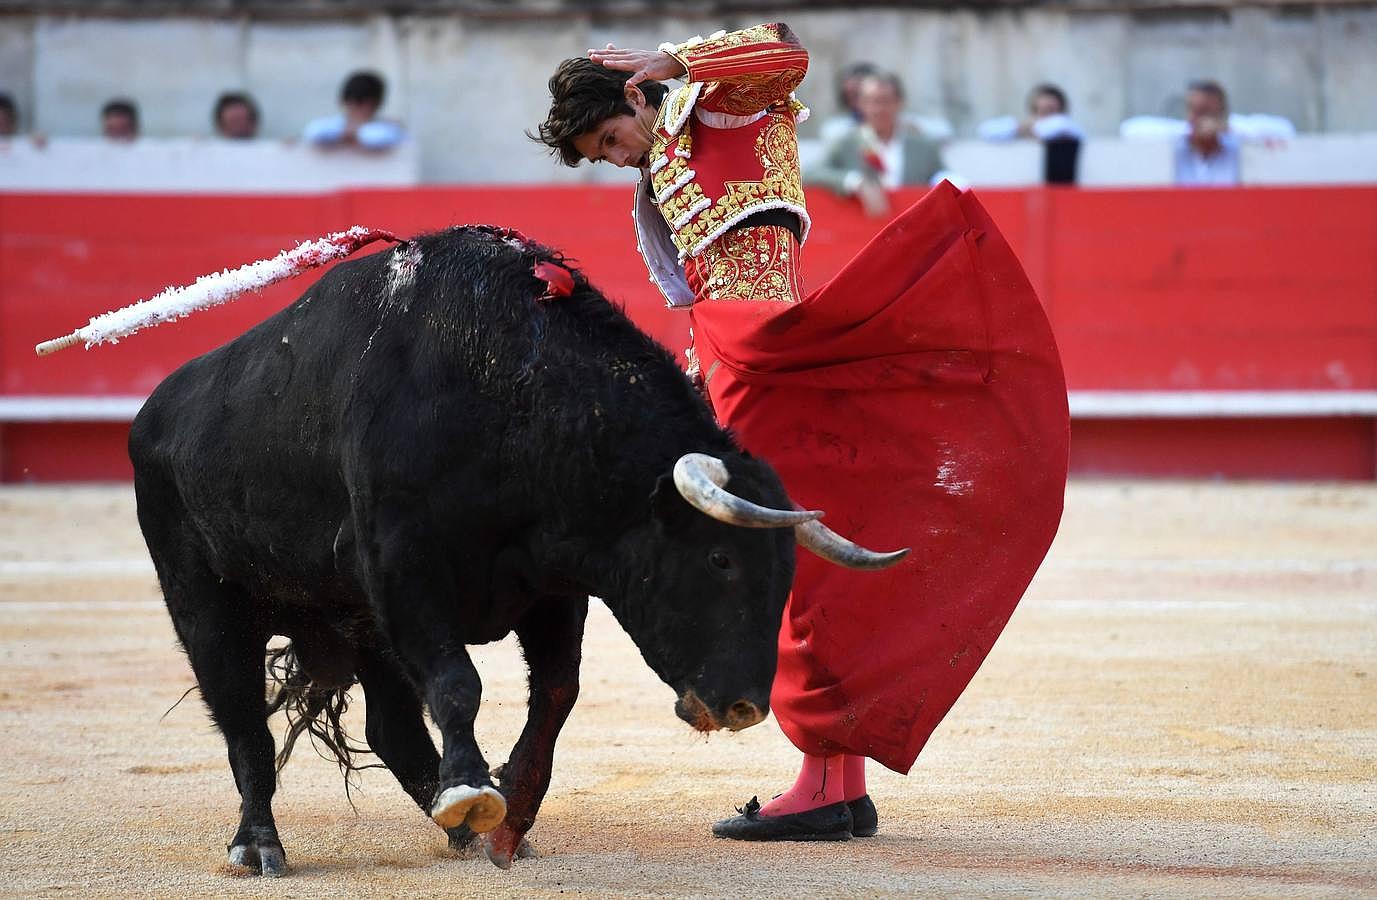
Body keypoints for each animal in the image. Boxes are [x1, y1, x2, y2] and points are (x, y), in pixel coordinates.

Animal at [131, 229, 848, 880]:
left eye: (785, 573)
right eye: (720, 561)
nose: (745, 706)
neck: (510, 392)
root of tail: (154, 413)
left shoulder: (553, 586)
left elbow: (556, 692)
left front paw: (510, 810)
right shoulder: (404, 570)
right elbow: (458, 682)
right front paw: (475, 790)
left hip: (355, 624)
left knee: (391, 727)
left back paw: (463, 828)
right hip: (206, 605)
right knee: (243, 723)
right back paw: (258, 845)